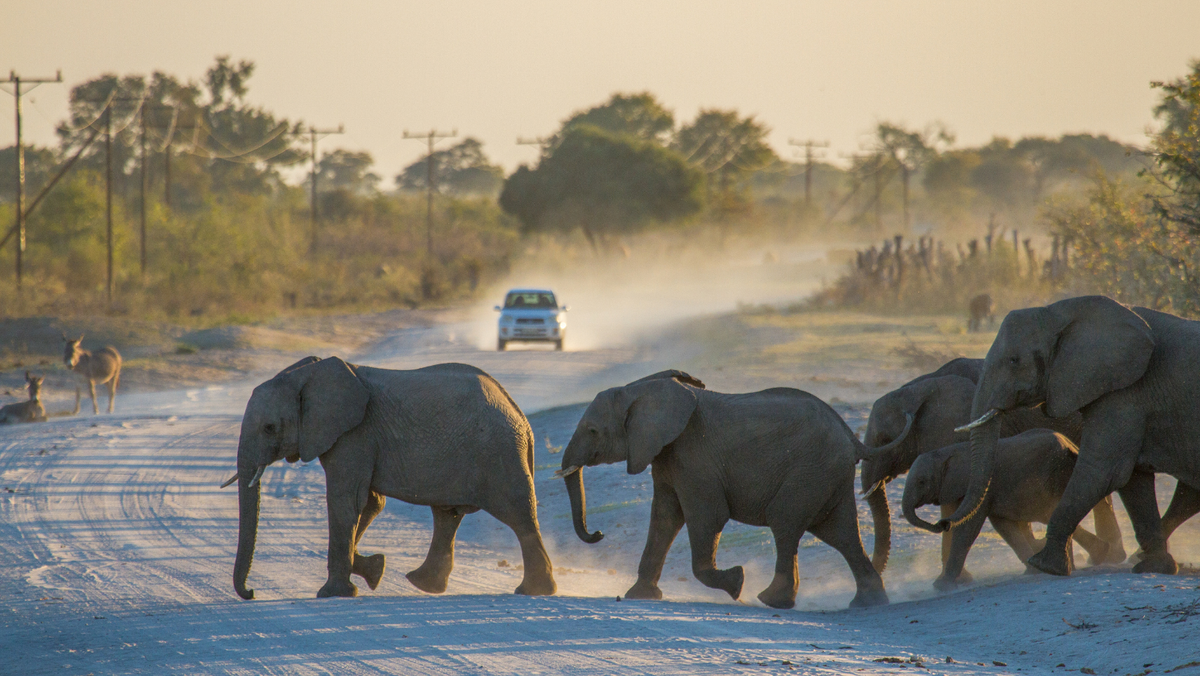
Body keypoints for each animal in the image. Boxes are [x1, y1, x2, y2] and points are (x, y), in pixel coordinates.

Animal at [226, 356, 556, 600]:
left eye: (269, 428)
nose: (251, 592)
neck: (306, 373)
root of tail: (520, 415)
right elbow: (371, 503)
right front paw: (375, 569)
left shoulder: (354, 435)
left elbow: (346, 501)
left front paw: (333, 594)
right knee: (447, 515)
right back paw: (422, 584)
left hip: (498, 452)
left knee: (519, 515)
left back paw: (533, 591)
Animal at [559, 370, 892, 609]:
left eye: (592, 431)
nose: (599, 533)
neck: (639, 390)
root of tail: (851, 437)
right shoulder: (667, 455)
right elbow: (664, 518)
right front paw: (639, 596)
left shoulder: (695, 457)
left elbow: (707, 517)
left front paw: (736, 582)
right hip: (827, 474)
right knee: (841, 534)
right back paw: (868, 603)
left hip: (811, 470)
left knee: (785, 521)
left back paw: (771, 600)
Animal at [903, 429, 1118, 590]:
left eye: (921, 481)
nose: (942, 523)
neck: (947, 452)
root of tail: (1072, 445)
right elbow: (1003, 526)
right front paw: (1031, 571)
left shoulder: (985, 487)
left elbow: (970, 528)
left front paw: (942, 586)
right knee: (1052, 516)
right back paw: (1097, 555)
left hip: (1057, 475)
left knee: (1053, 513)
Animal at [945, 295, 1200, 578]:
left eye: (1013, 360)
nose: (944, 521)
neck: (1061, 312)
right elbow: (1133, 478)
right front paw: (1155, 566)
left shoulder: (1125, 394)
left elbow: (1102, 471)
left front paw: (1044, 566)